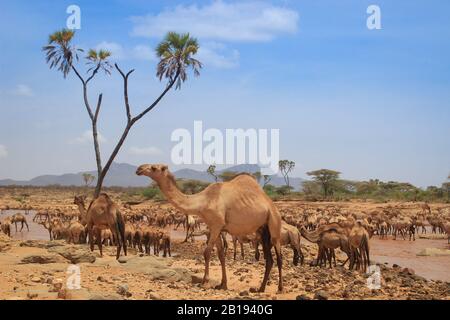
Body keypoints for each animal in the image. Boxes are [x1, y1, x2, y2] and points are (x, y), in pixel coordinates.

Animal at [137, 165, 284, 292]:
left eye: (154, 168)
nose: (139, 169)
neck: (203, 201)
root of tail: (272, 206)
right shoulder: (216, 227)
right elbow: (221, 255)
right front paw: (222, 284)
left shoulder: (216, 225)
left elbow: (207, 252)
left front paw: (205, 281)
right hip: (263, 230)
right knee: (269, 259)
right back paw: (261, 288)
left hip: (274, 224)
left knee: (279, 257)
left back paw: (280, 288)